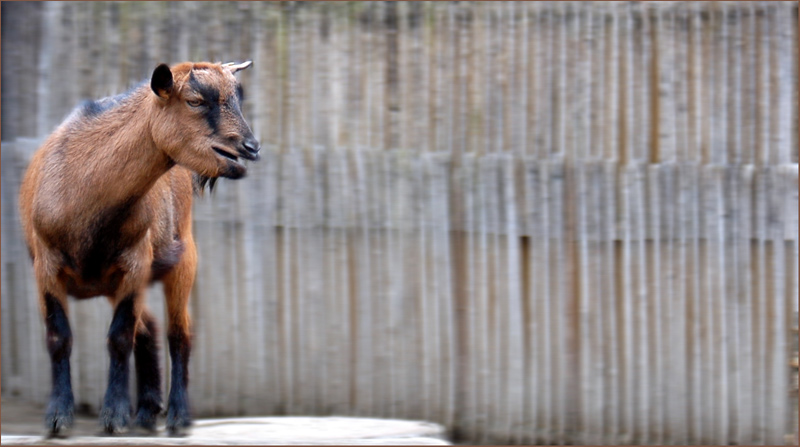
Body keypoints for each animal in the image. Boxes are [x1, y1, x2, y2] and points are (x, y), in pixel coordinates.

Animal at [19, 60, 260, 438]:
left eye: (238, 98)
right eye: (194, 101)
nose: (250, 147)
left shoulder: (135, 262)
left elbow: (120, 337)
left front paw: (114, 417)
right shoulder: (46, 265)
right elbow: (59, 337)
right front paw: (58, 419)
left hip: (183, 260)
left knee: (179, 334)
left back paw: (178, 416)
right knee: (150, 329)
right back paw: (147, 412)